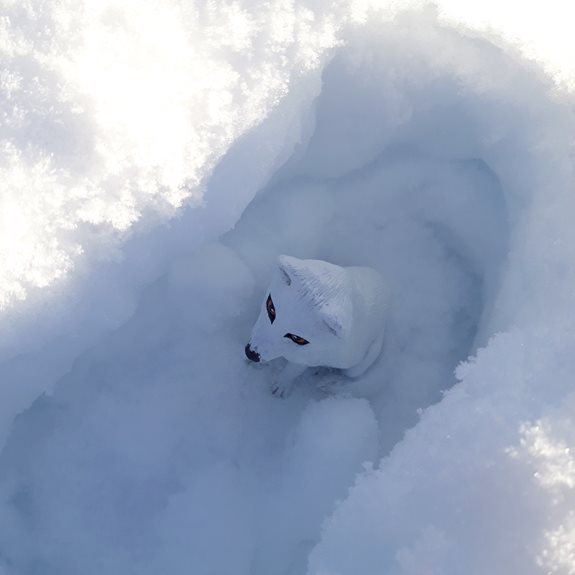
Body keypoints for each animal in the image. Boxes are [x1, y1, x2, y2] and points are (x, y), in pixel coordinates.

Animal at [246, 256, 388, 396]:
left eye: (297, 338)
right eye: (271, 308)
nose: (251, 353)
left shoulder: (309, 357)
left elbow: (293, 370)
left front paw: (281, 384)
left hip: (359, 364)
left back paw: (330, 384)